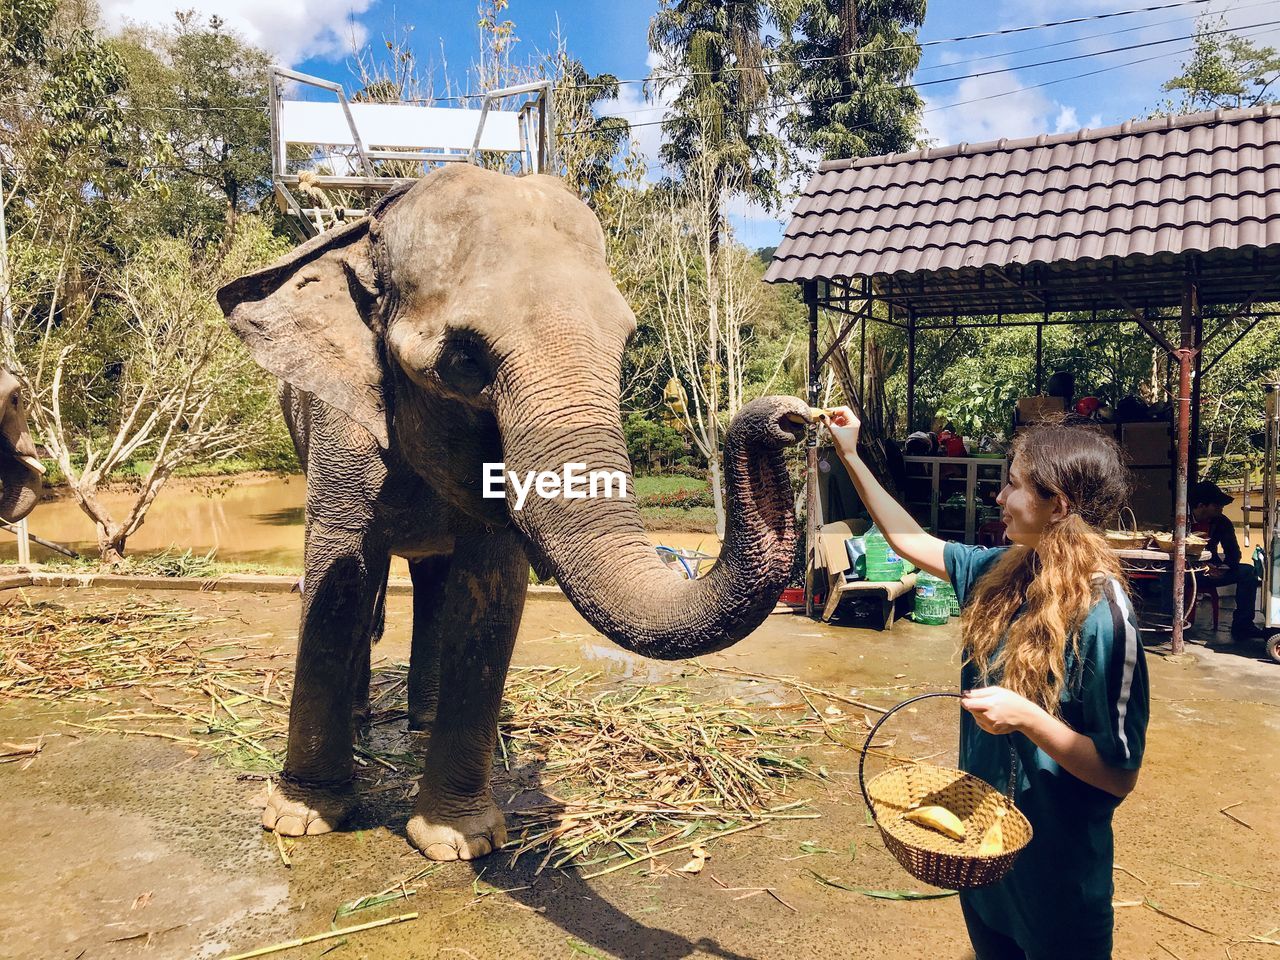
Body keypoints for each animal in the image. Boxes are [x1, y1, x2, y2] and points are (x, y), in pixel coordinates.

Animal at [213, 165, 803, 865]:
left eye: (627, 342)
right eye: (465, 360)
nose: (791, 418)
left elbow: (490, 588)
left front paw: (461, 842)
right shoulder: (340, 424)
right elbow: (340, 574)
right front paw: (301, 821)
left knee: (434, 580)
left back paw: (422, 723)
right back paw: (364, 722)